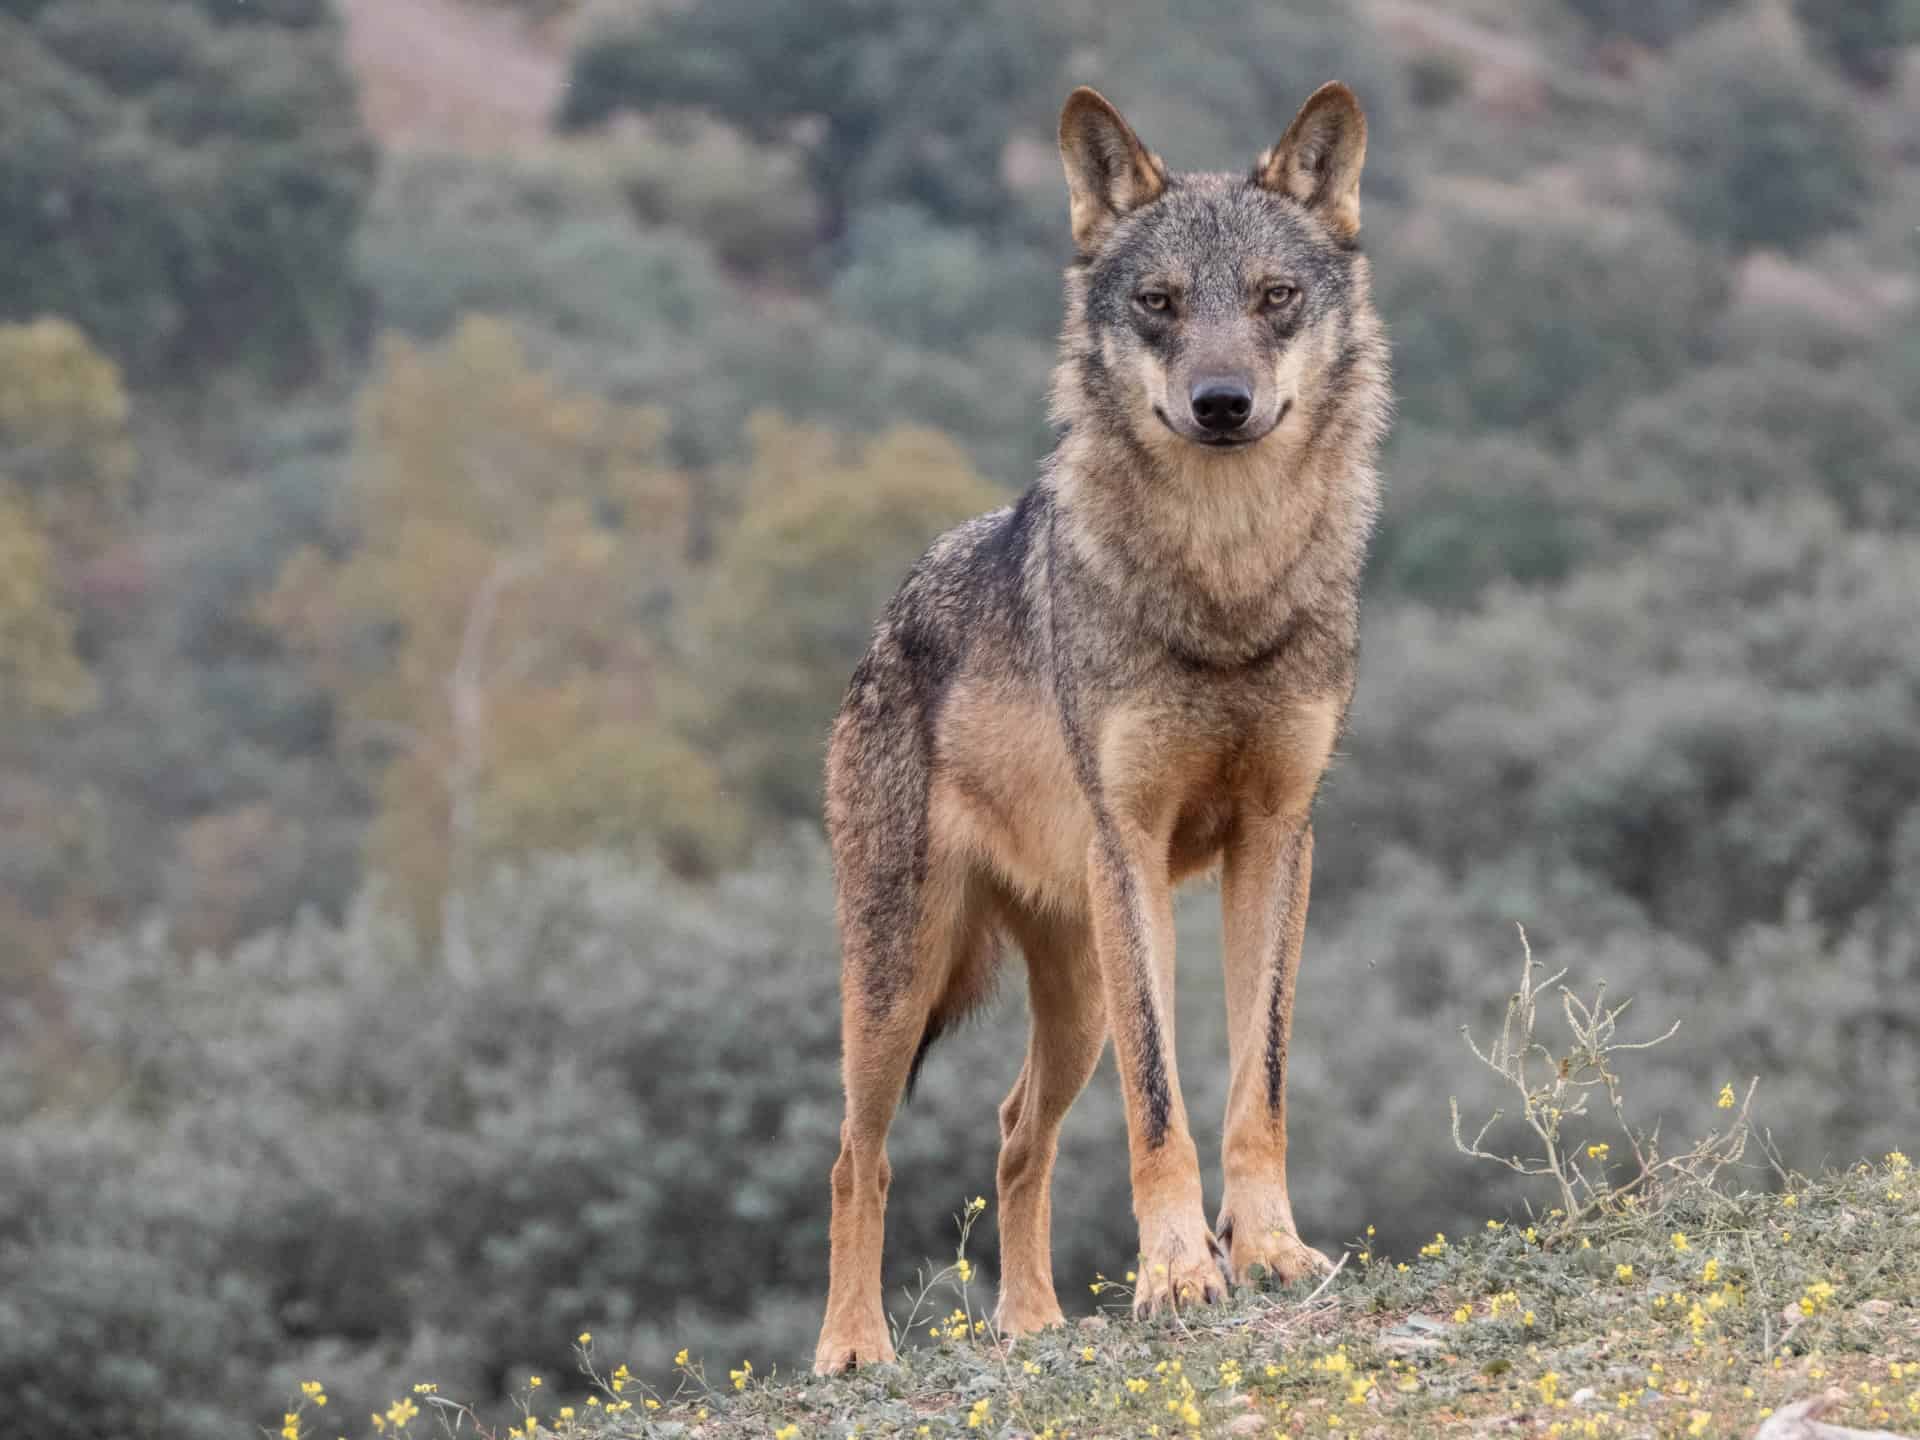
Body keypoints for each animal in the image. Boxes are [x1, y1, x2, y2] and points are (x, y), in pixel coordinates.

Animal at [813, 80, 1391, 1374]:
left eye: (1275, 298)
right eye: (1159, 304)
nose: (1221, 405)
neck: (1224, 586)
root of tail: (885, 620)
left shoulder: (1279, 839)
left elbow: (1258, 1083)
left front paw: (1269, 1252)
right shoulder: (1131, 847)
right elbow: (1161, 1104)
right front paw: (1179, 1275)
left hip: (1072, 992)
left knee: (1014, 1129)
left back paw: (1030, 1325)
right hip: (901, 980)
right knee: (855, 1156)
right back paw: (853, 1348)